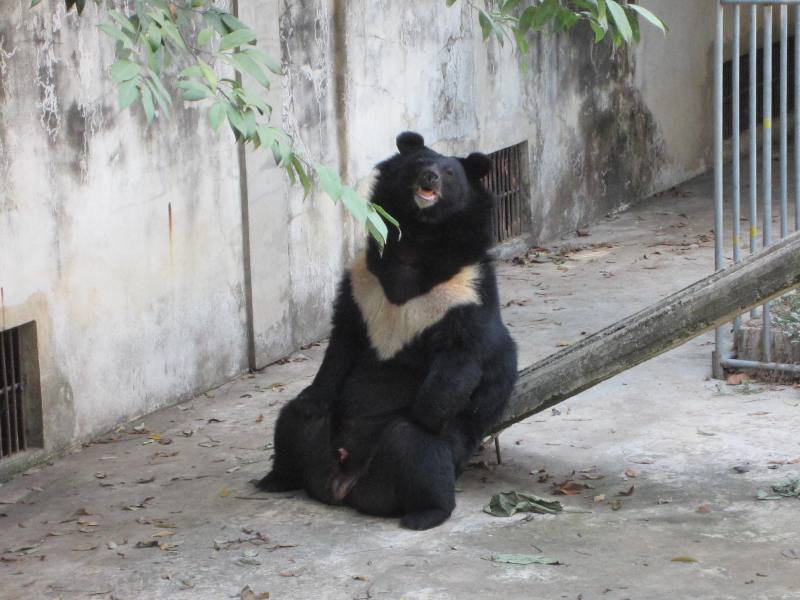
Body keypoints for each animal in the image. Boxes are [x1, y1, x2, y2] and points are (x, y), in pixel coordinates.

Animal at [258, 132, 520, 528]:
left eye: (449, 173)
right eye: (419, 164)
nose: (430, 178)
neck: (419, 240)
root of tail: (343, 485)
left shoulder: (463, 294)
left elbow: (459, 360)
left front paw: (424, 413)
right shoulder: (362, 281)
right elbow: (342, 342)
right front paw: (319, 386)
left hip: (400, 464)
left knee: (416, 449)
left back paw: (424, 513)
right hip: (320, 440)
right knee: (294, 419)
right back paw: (274, 478)